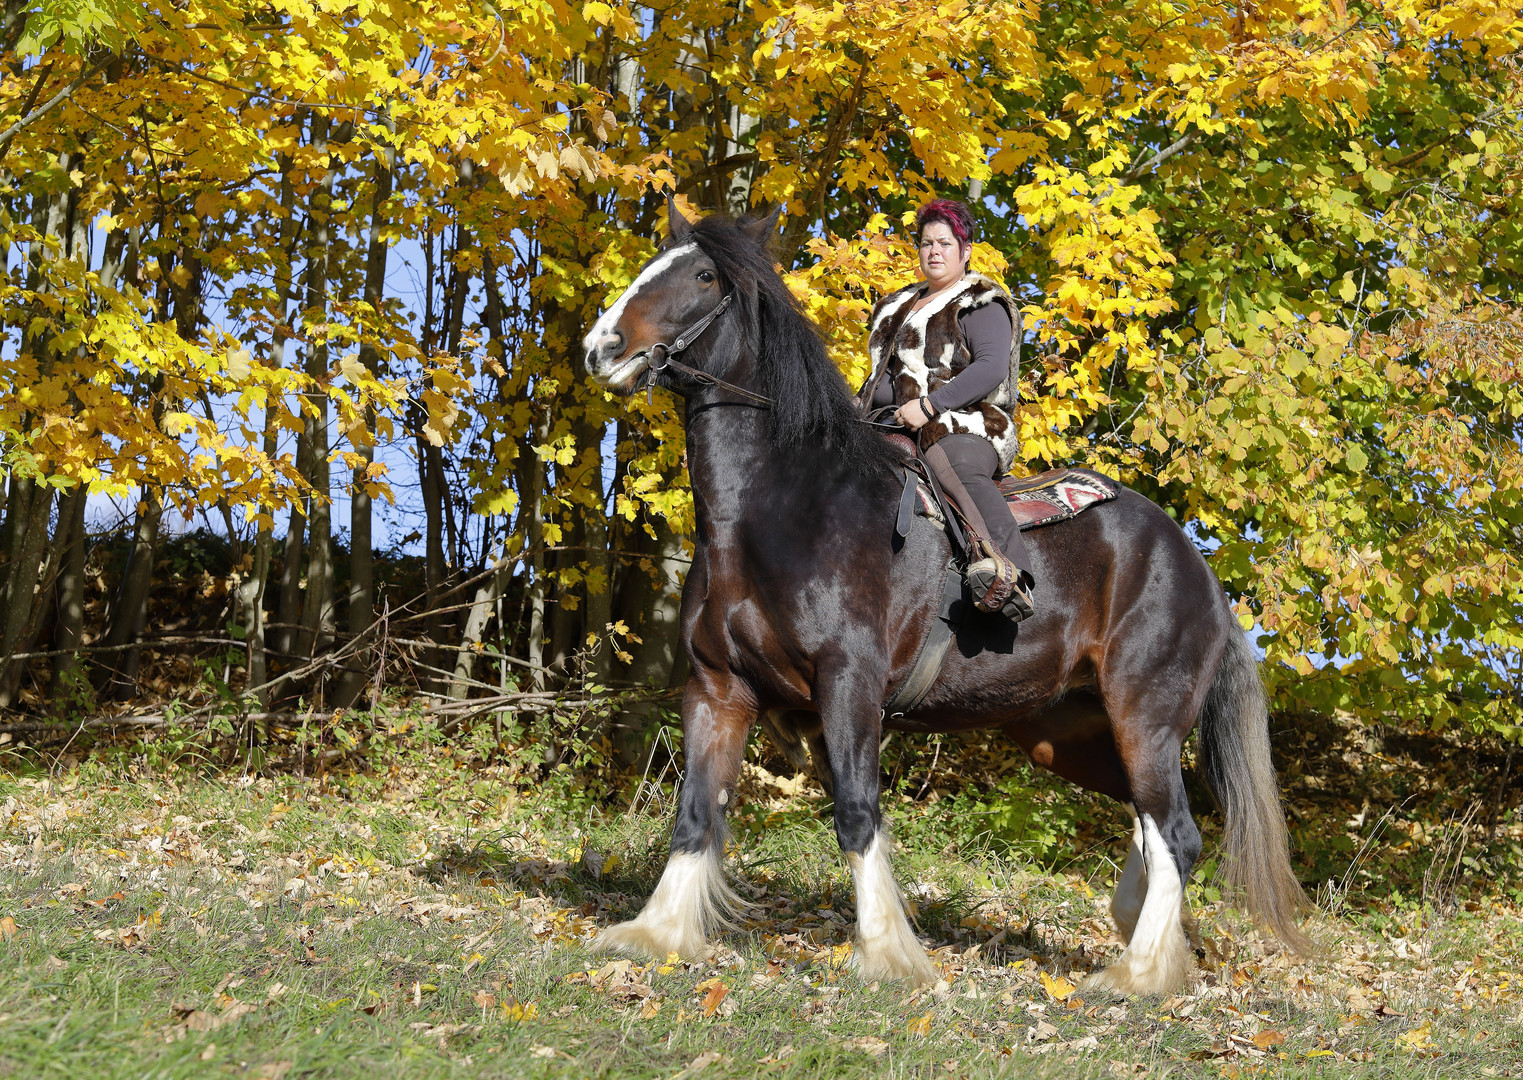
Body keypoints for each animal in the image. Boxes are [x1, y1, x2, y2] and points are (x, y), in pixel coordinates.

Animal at [575, 202, 1303, 993]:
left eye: (703, 276)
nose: (599, 347)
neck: (784, 506)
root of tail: (1197, 568)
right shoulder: (716, 688)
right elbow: (694, 813)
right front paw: (654, 933)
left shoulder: (849, 686)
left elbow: (856, 813)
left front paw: (887, 956)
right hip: (1070, 733)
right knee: (1151, 820)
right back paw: (1142, 936)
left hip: (1146, 715)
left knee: (1176, 832)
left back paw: (1135, 974)